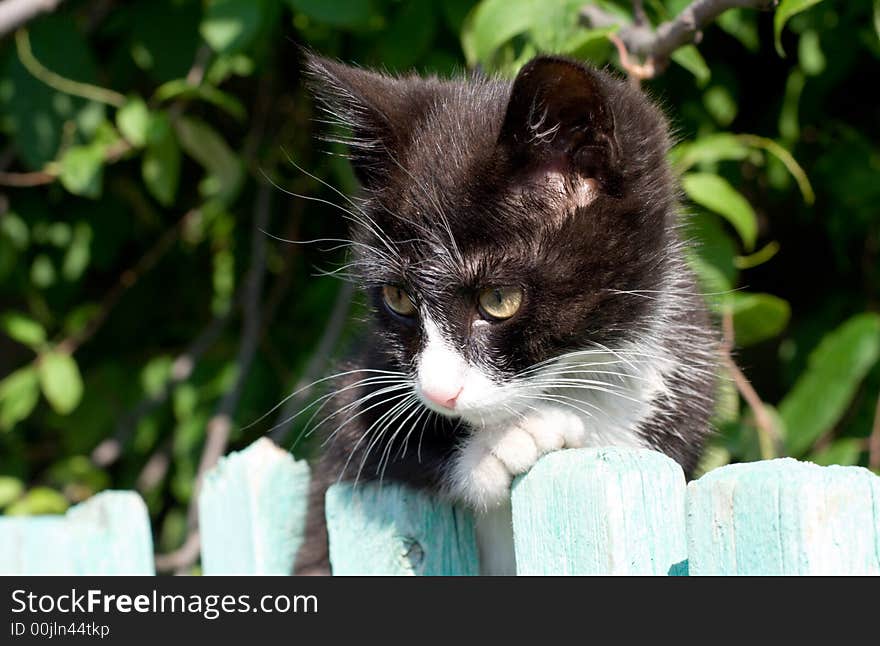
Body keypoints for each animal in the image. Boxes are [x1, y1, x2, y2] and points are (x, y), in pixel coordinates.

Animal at [292, 52, 720, 576]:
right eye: (398, 299)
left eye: (498, 300)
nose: (438, 392)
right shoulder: (358, 386)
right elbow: (367, 447)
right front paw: (504, 443)